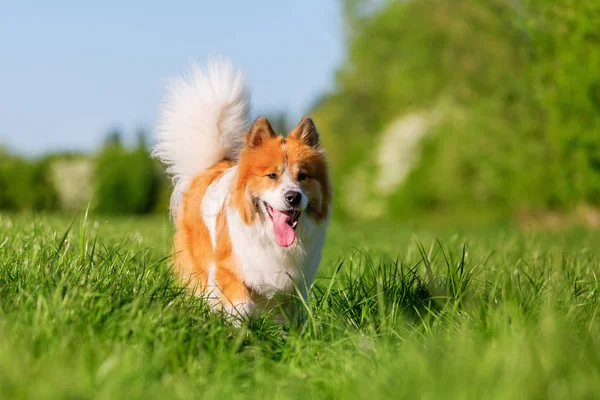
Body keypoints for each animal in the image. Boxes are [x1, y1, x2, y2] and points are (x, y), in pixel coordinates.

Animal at [154, 59, 332, 322]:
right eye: (272, 175)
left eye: (303, 176)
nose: (293, 196)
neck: (273, 239)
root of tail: (214, 165)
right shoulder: (228, 270)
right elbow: (240, 306)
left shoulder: (294, 286)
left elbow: (286, 319)